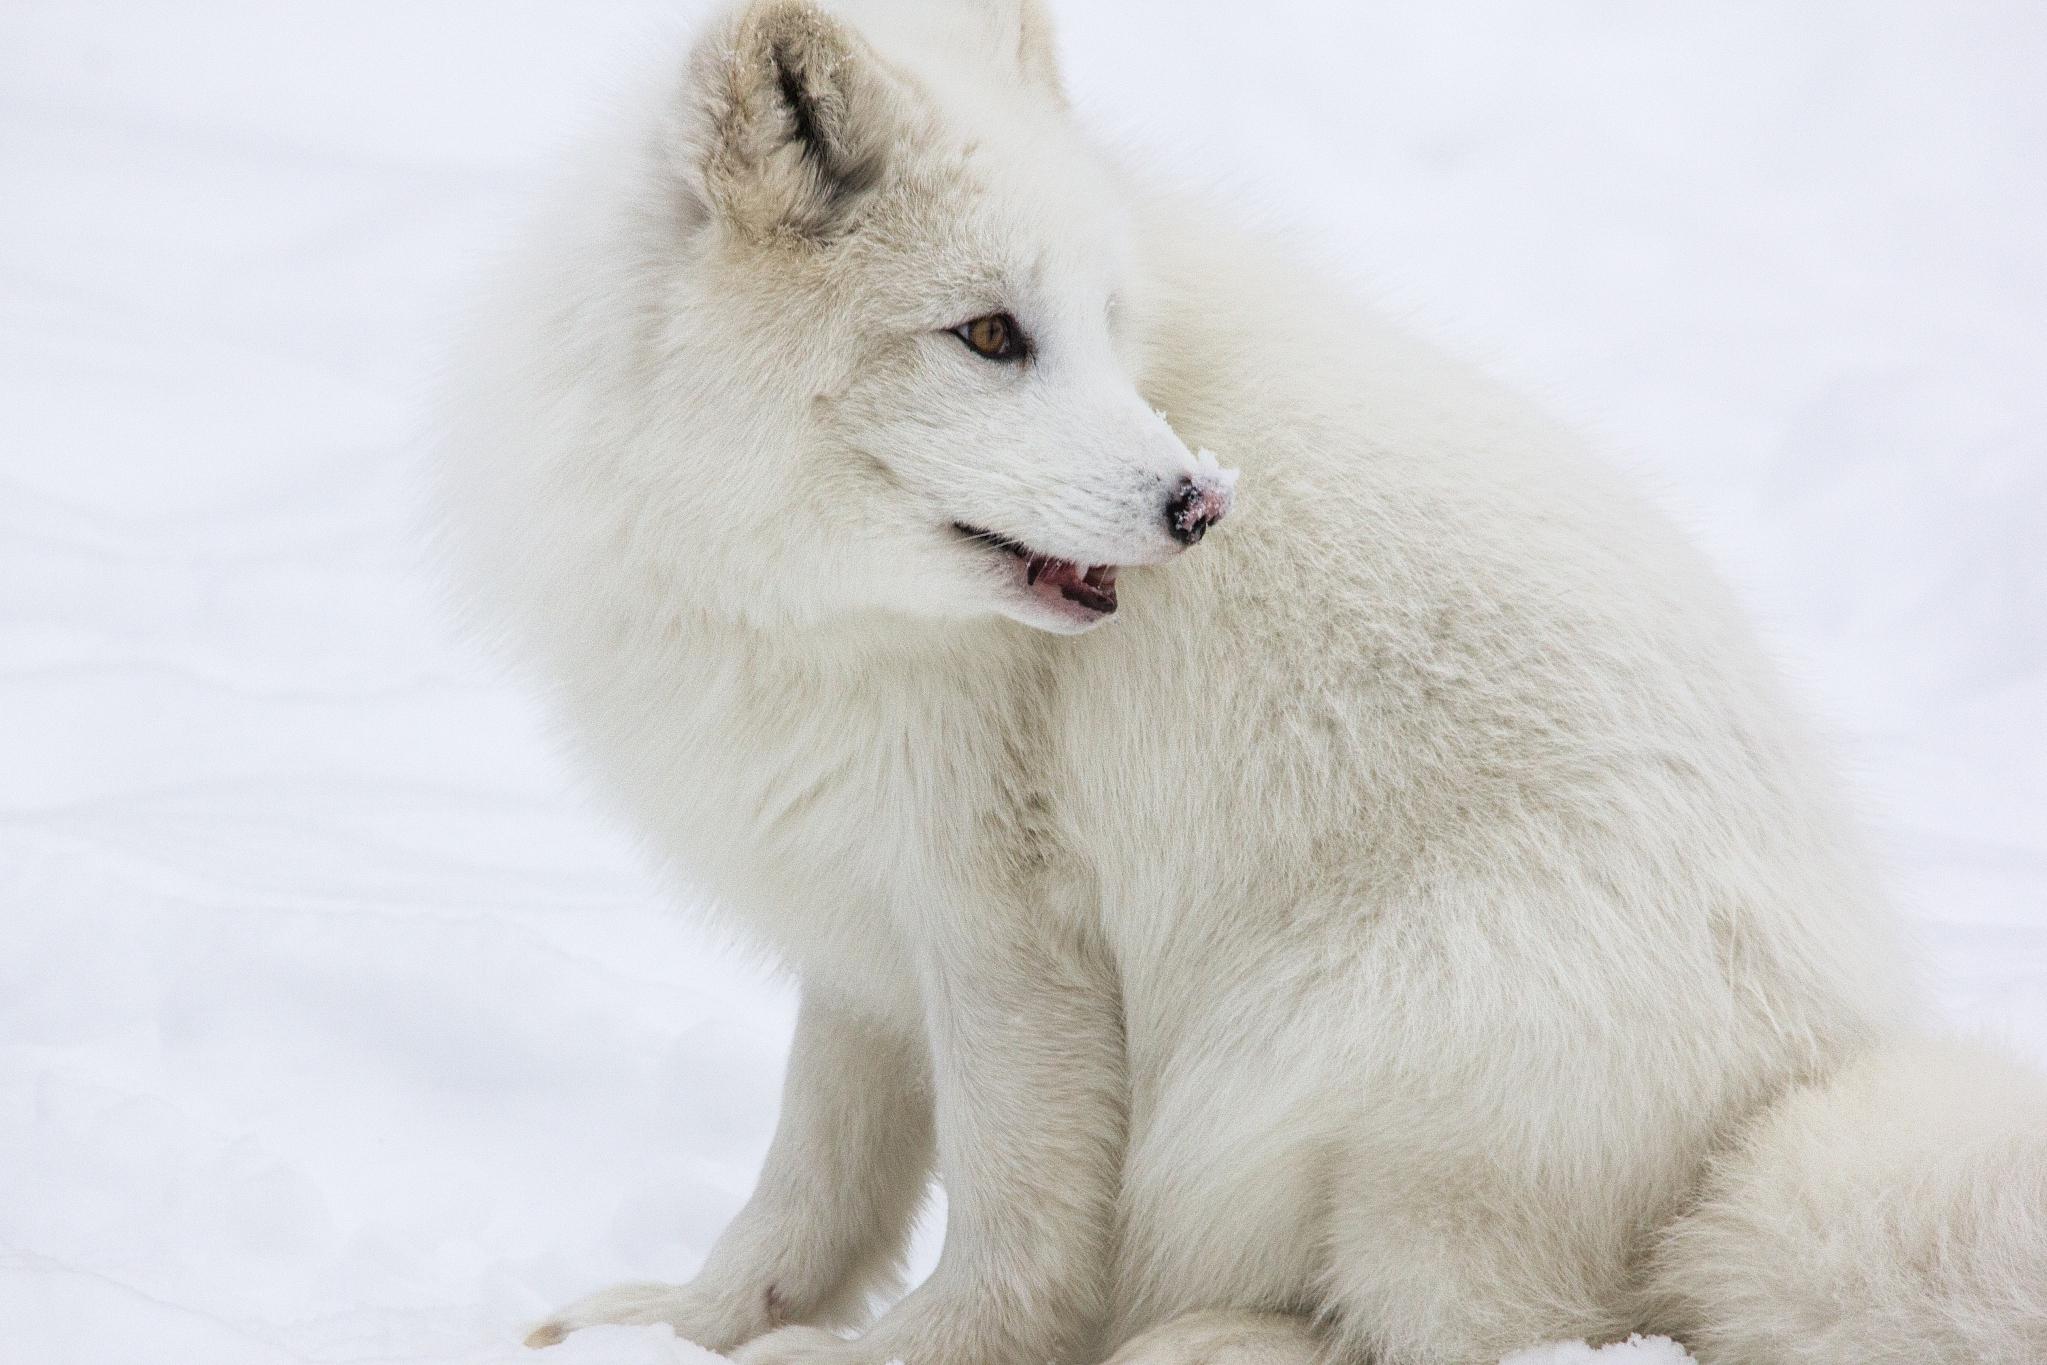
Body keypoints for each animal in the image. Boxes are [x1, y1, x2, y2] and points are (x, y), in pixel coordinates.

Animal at [436, 2, 2046, 1365]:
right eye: (988, 333)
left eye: (1104, 323)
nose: (1198, 503)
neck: (806, 604)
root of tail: (1768, 1119)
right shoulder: (861, 914)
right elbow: (811, 1171)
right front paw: (690, 1323)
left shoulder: (1005, 925)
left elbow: (1014, 1218)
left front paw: (879, 1358)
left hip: (1336, 1068)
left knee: (1536, 1336)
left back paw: (1200, 1342)